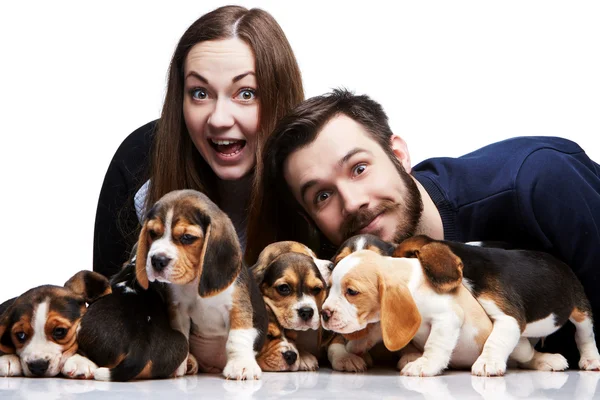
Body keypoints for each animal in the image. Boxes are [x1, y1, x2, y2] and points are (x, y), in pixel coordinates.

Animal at [137, 189, 268, 380]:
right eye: (153, 233)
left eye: (187, 237)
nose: (157, 260)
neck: (195, 283)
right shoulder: (178, 310)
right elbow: (181, 337)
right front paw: (178, 364)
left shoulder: (237, 307)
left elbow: (237, 338)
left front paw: (241, 366)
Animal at [318, 247, 492, 376]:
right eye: (329, 287)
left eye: (352, 292)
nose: (324, 314)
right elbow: (378, 330)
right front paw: (357, 345)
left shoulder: (447, 316)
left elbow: (435, 344)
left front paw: (425, 364)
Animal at [394, 234, 600, 376]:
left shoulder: (508, 317)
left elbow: (496, 340)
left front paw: (488, 362)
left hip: (579, 307)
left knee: (584, 334)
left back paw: (590, 359)